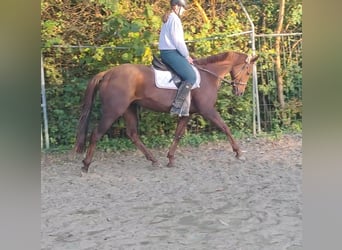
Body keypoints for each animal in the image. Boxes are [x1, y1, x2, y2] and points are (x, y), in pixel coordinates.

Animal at [74, 50, 256, 172]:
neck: (207, 76)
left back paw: (153, 160)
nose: (239, 92)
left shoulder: (187, 114)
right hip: (113, 111)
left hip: (128, 109)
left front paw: (170, 159)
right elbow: (225, 128)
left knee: (133, 134)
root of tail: (107, 73)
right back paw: (86, 165)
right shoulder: (208, 110)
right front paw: (239, 153)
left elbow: (177, 135)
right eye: (248, 71)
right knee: (96, 134)